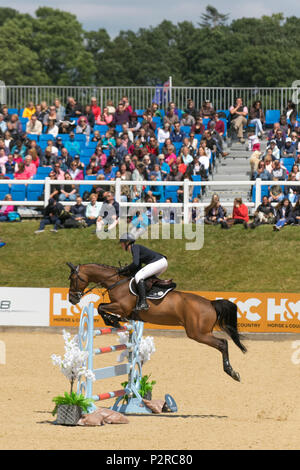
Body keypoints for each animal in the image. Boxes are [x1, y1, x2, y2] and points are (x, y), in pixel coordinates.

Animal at [67, 262, 246, 380]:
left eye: (72, 278)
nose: (71, 299)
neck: (116, 282)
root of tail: (210, 303)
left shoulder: (121, 307)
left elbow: (100, 307)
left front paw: (113, 321)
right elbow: (101, 307)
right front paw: (115, 320)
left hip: (198, 333)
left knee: (223, 343)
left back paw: (232, 372)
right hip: (199, 332)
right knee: (223, 343)